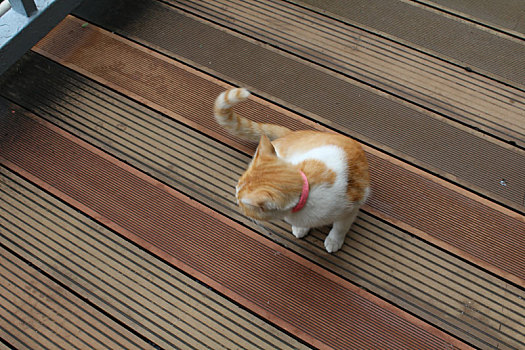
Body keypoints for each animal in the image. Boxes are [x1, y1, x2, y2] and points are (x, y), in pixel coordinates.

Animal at [213, 87, 368, 252]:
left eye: (241, 201)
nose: (235, 199)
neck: (307, 190)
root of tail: (293, 134)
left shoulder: (351, 209)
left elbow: (340, 227)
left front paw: (334, 240)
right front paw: (301, 228)